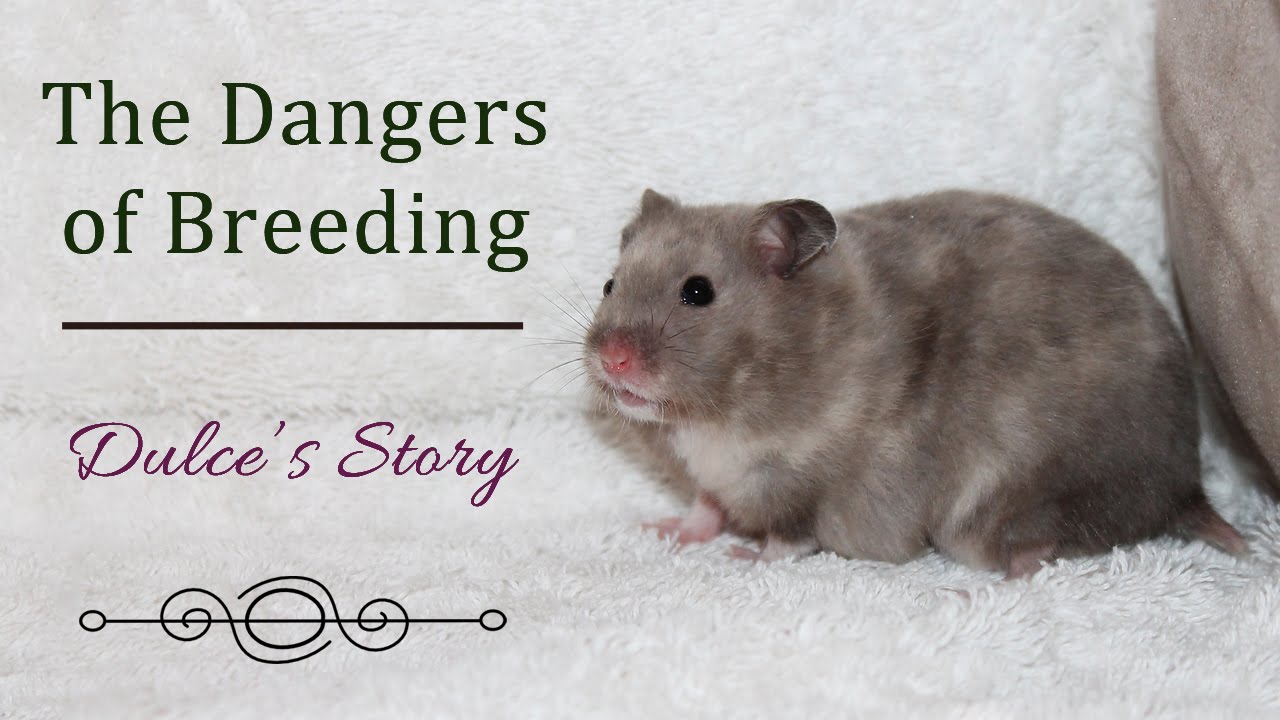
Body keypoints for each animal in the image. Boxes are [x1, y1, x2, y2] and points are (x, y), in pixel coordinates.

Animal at [582, 188, 1246, 577]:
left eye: (698, 292)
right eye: (611, 284)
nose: (613, 361)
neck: (714, 417)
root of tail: (1186, 487)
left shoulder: (802, 481)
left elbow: (787, 540)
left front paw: (745, 559)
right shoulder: (718, 476)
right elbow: (705, 505)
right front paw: (665, 531)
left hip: (1004, 502)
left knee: (1041, 546)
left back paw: (1001, 580)